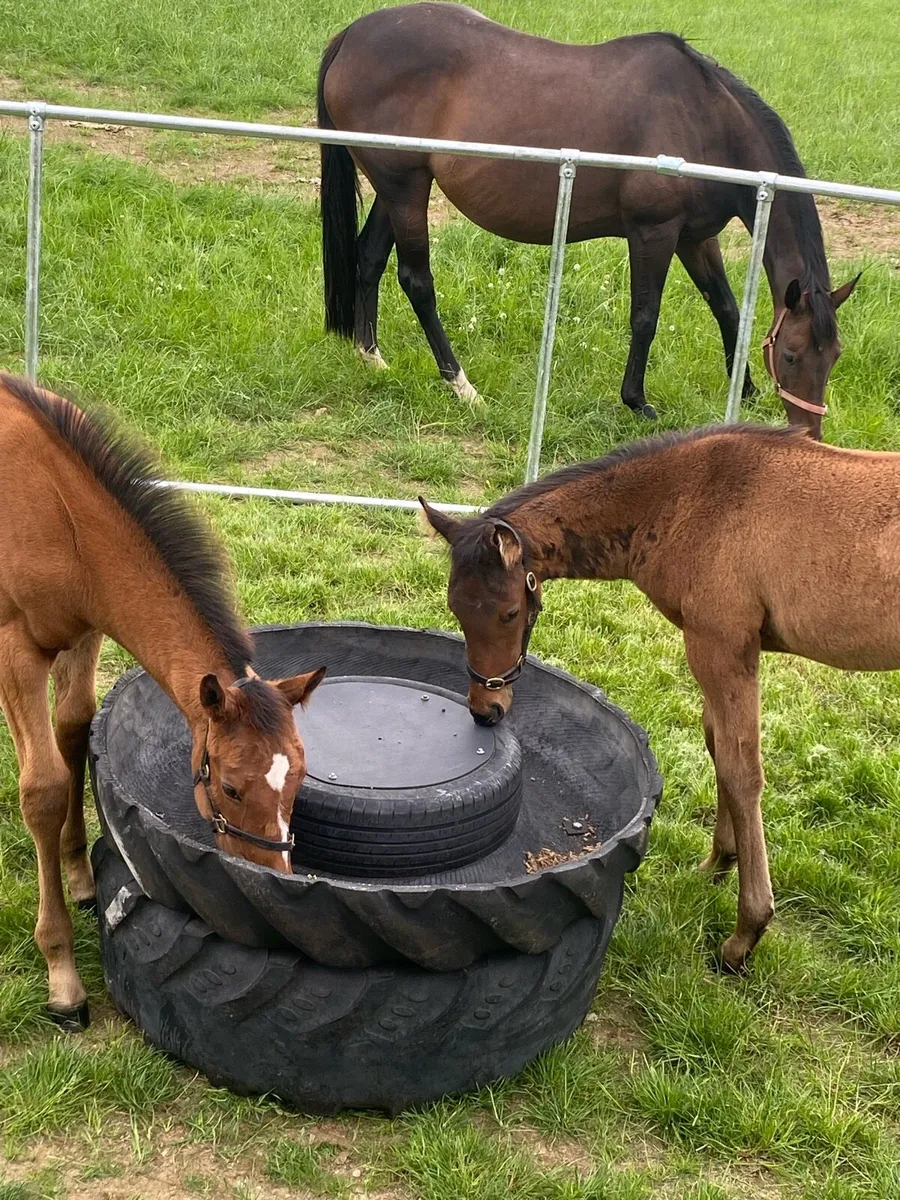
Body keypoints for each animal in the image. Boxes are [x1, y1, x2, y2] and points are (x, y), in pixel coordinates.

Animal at [0, 375, 325, 1028]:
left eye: (299, 781)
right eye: (230, 788)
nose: (272, 879)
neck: (56, 511)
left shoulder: (85, 631)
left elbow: (73, 730)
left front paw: (80, 876)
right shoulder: (15, 648)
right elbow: (42, 789)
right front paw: (63, 977)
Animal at [318, 2, 859, 436]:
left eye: (833, 355)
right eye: (791, 355)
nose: (809, 432)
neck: (706, 120)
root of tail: (351, 35)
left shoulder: (694, 238)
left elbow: (727, 308)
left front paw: (743, 389)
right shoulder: (653, 232)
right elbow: (645, 316)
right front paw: (638, 401)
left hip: (397, 190)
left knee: (369, 257)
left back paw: (372, 356)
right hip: (406, 189)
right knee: (417, 280)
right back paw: (462, 385)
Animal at [420, 423, 900, 969]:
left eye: (507, 613)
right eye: (456, 607)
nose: (487, 710)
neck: (690, 498)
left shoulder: (721, 644)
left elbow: (741, 770)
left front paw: (746, 933)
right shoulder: (718, 649)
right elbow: (717, 748)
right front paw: (717, 864)